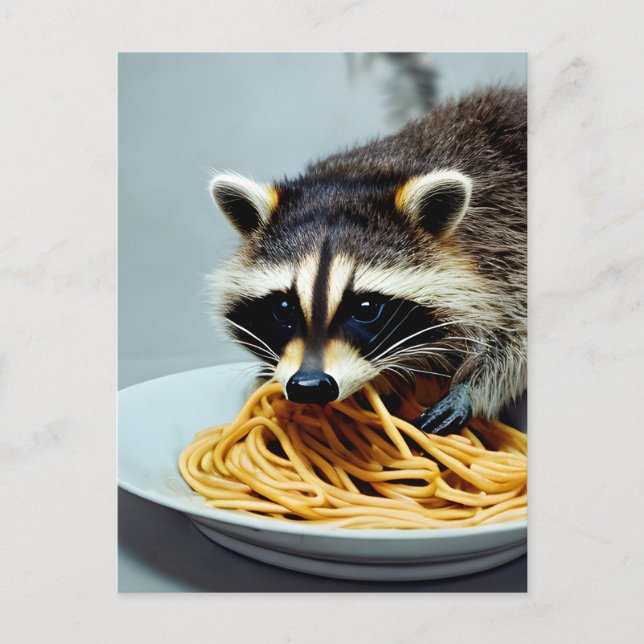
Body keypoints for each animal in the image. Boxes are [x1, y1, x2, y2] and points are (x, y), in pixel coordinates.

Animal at [208, 87, 526, 435]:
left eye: (366, 309)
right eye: (283, 308)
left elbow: (516, 337)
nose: (309, 386)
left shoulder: (507, 242)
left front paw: (468, 388)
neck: (365, 172)